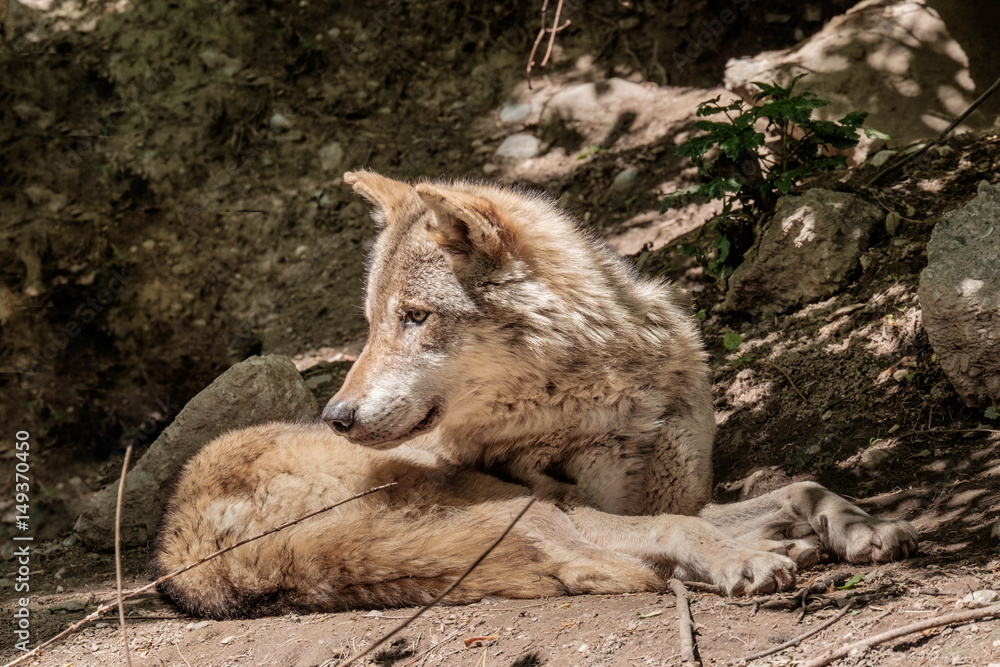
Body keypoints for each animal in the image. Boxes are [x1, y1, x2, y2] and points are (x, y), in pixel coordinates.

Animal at [152, 171, 917, 619]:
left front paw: (862, 527)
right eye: (371, 323)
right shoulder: (586, 508)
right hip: (517, 508)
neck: (600, 408)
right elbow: (680, 529)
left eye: (414, 317)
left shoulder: (664, 493)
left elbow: (801, 485)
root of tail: (182, 550)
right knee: (599, 562)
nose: (337, 416)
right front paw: (747, 560)